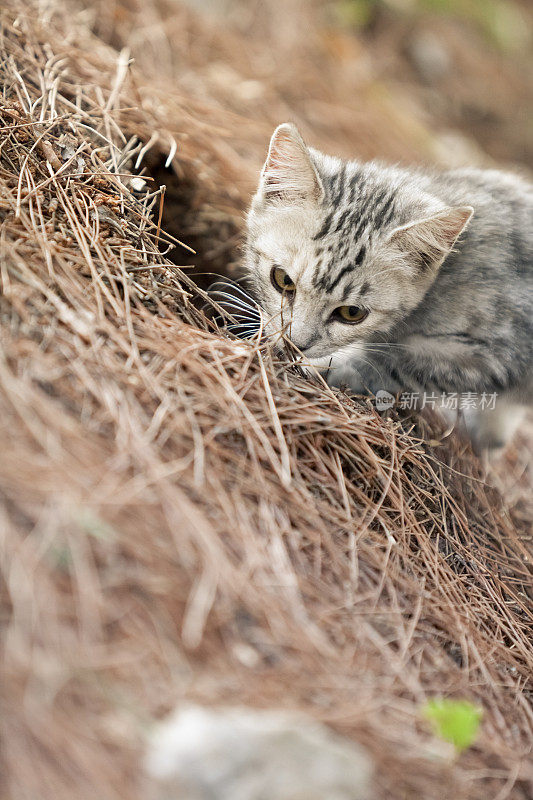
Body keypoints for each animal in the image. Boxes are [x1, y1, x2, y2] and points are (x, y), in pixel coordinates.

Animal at [245, 123, 532, 450]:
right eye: (282, 280)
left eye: (352, 313)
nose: (295, 343)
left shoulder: (504, 351)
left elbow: (402, 361)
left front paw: (335, 367)